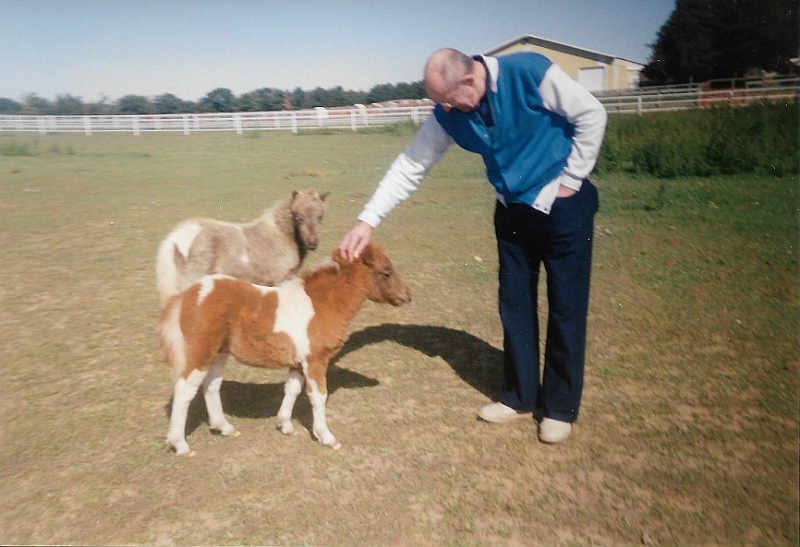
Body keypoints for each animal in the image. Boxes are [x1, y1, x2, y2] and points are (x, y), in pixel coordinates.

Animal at [161, 245, 412, 458]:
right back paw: (181, 445)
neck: (321, 305)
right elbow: (319, 396)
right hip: (200, 353)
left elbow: (292, 389)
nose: (408, 295)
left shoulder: (298, 363)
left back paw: (224, 427)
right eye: (386, 272)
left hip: (219, 353)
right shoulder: (315, 360)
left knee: (211, 386)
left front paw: (285, 425)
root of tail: (190, 293)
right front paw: (326, 437)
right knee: (184, 391)